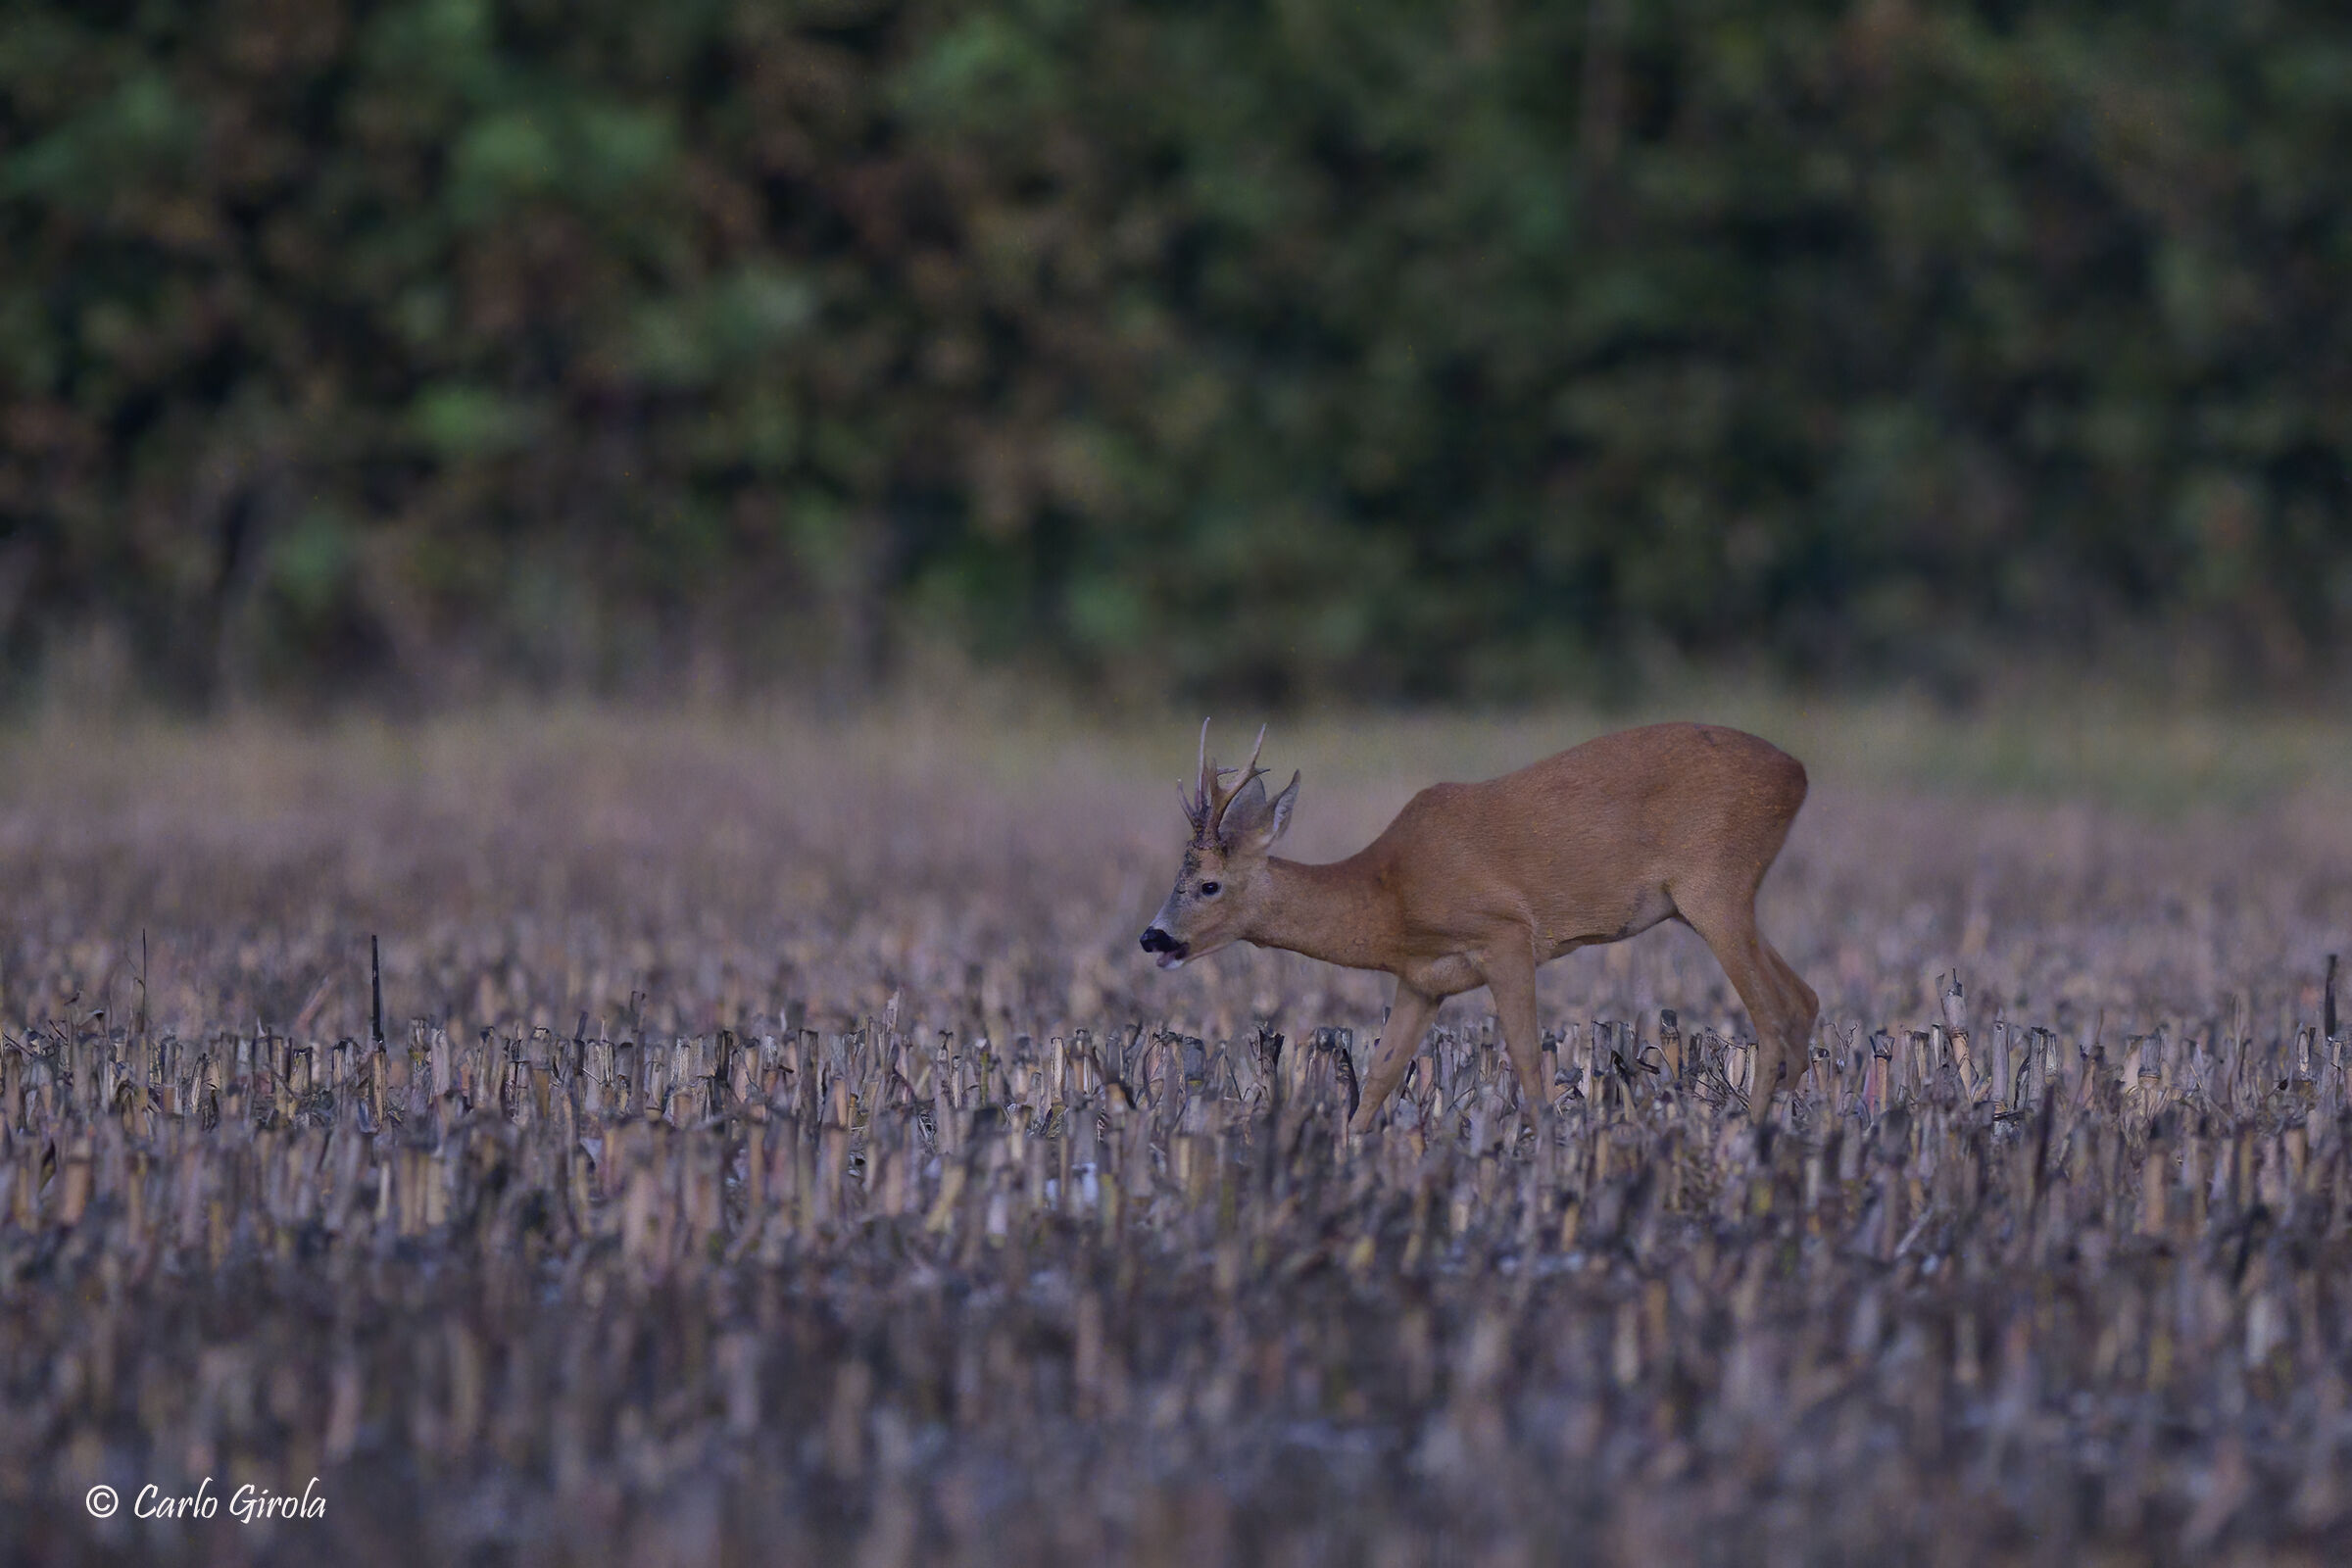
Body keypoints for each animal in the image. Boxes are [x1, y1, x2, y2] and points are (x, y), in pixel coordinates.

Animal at [1138, 720, 1818, 1132]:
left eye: (1209, 884)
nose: (1153, 937)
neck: (1389, 896)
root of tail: (1799, 773)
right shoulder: (1421, 980)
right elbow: (1380, 1074)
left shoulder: (1506, 933)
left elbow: (1527, 1060)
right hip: (1719, 899)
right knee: (1804, 1000)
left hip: (1714, 888)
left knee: (1772, 1015)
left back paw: (1750, 1136)